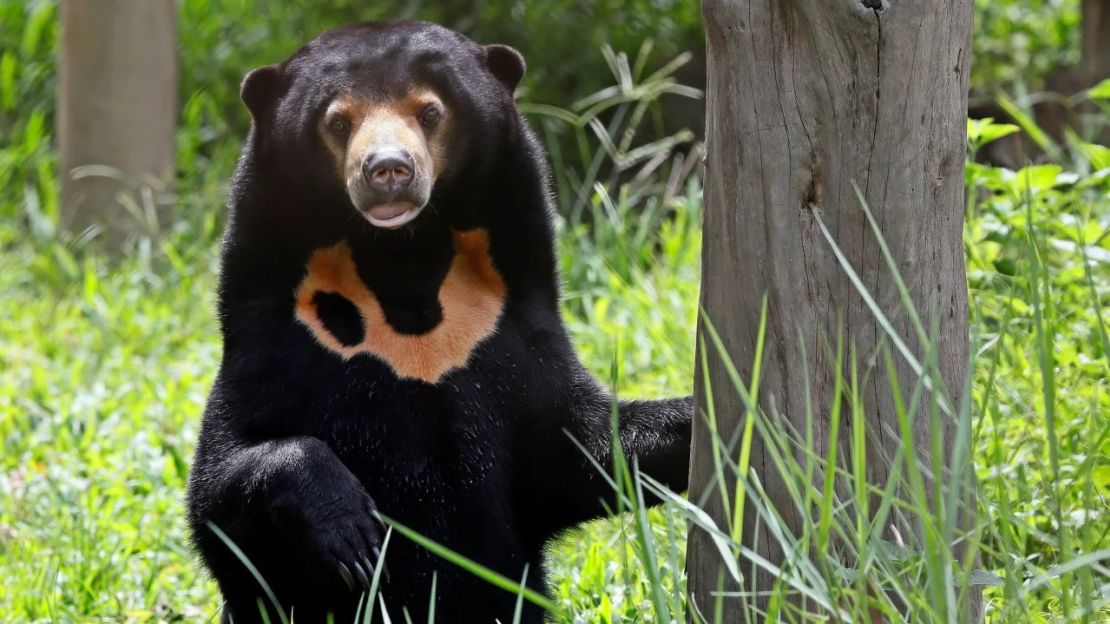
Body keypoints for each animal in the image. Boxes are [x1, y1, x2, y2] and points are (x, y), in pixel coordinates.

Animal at [189, 20, 692, 621]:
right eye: (337, 121)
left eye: (429, 112)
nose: (388, 171)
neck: (403, 264)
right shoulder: (274, 339)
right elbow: (222, 487)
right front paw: (353, 535)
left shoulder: (512, 334)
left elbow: (585, 446)